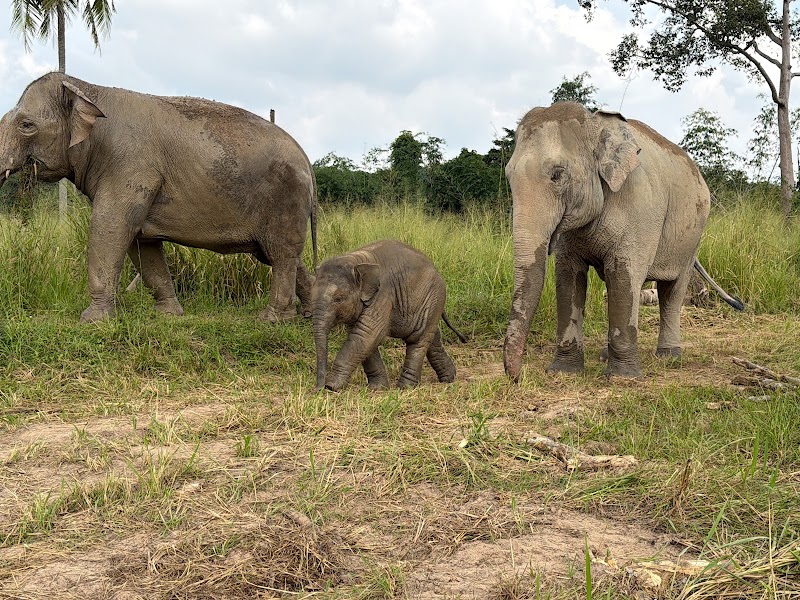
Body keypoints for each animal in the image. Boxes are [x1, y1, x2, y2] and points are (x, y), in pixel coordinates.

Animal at [0, 73, 317, 323]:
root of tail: (306, 158)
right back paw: (310, 313)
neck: (87, 87)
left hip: (284, 197)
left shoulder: (132, 166)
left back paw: (272, 319)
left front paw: (92, 320)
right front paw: (168, 315)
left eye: (26, 125)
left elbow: (111, 228)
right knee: (281, 256)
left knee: (281, 254)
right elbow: (142, 243)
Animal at [312, 239, 467, 392]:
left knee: (418, 340)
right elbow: (364, 336)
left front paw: (332, 386)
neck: (355, 260)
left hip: (434, 295)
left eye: (338, 299)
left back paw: (405, 388)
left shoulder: (383, 295)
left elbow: (367, 334)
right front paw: (377, 388)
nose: (319, 389)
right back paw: (448, 378)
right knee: (430, 335)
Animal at [503, 102, 743, 381]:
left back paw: (669, 356)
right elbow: (568, 277)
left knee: (671, 291)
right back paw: (607, 355)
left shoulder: (639, 206)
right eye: (509, 176)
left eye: (557, 175)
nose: (517, 377)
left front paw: (622, 378)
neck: (596, 124)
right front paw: (564, 371)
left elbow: (623, 275)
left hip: (692, 236)